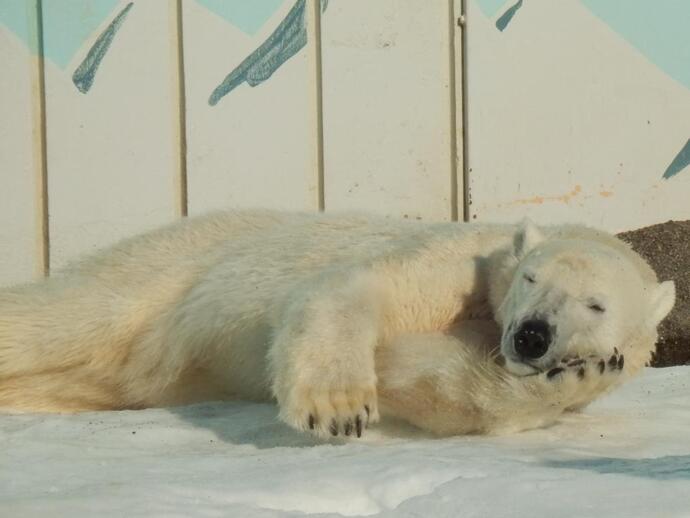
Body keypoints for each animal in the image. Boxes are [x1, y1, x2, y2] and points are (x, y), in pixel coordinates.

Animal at [0, 211, 672, 438]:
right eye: (532, 277)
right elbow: (361, 287)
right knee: (69, 313)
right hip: (167, 270)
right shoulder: (466, 265)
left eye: (596, 305)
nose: (531, 335)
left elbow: (429, 376)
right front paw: (339, 408)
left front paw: (576, 377)